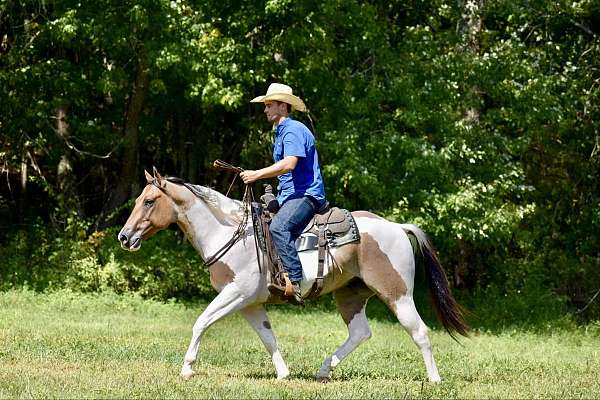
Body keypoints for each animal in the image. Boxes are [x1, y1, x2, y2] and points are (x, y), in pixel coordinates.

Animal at [117, 169, 466, 382]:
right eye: (138, 200)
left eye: (149, 201)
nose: (124, 237)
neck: (231, 233)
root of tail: (397, 227)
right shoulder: (250, 303)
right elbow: (268, 336)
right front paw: (283, 373)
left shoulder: (236, 293)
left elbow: (201, 321)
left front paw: (187, 368)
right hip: (350, 294)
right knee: (360, 333)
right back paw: (324, 370)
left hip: (398, 295)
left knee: (419, 331)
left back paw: (434, 379)